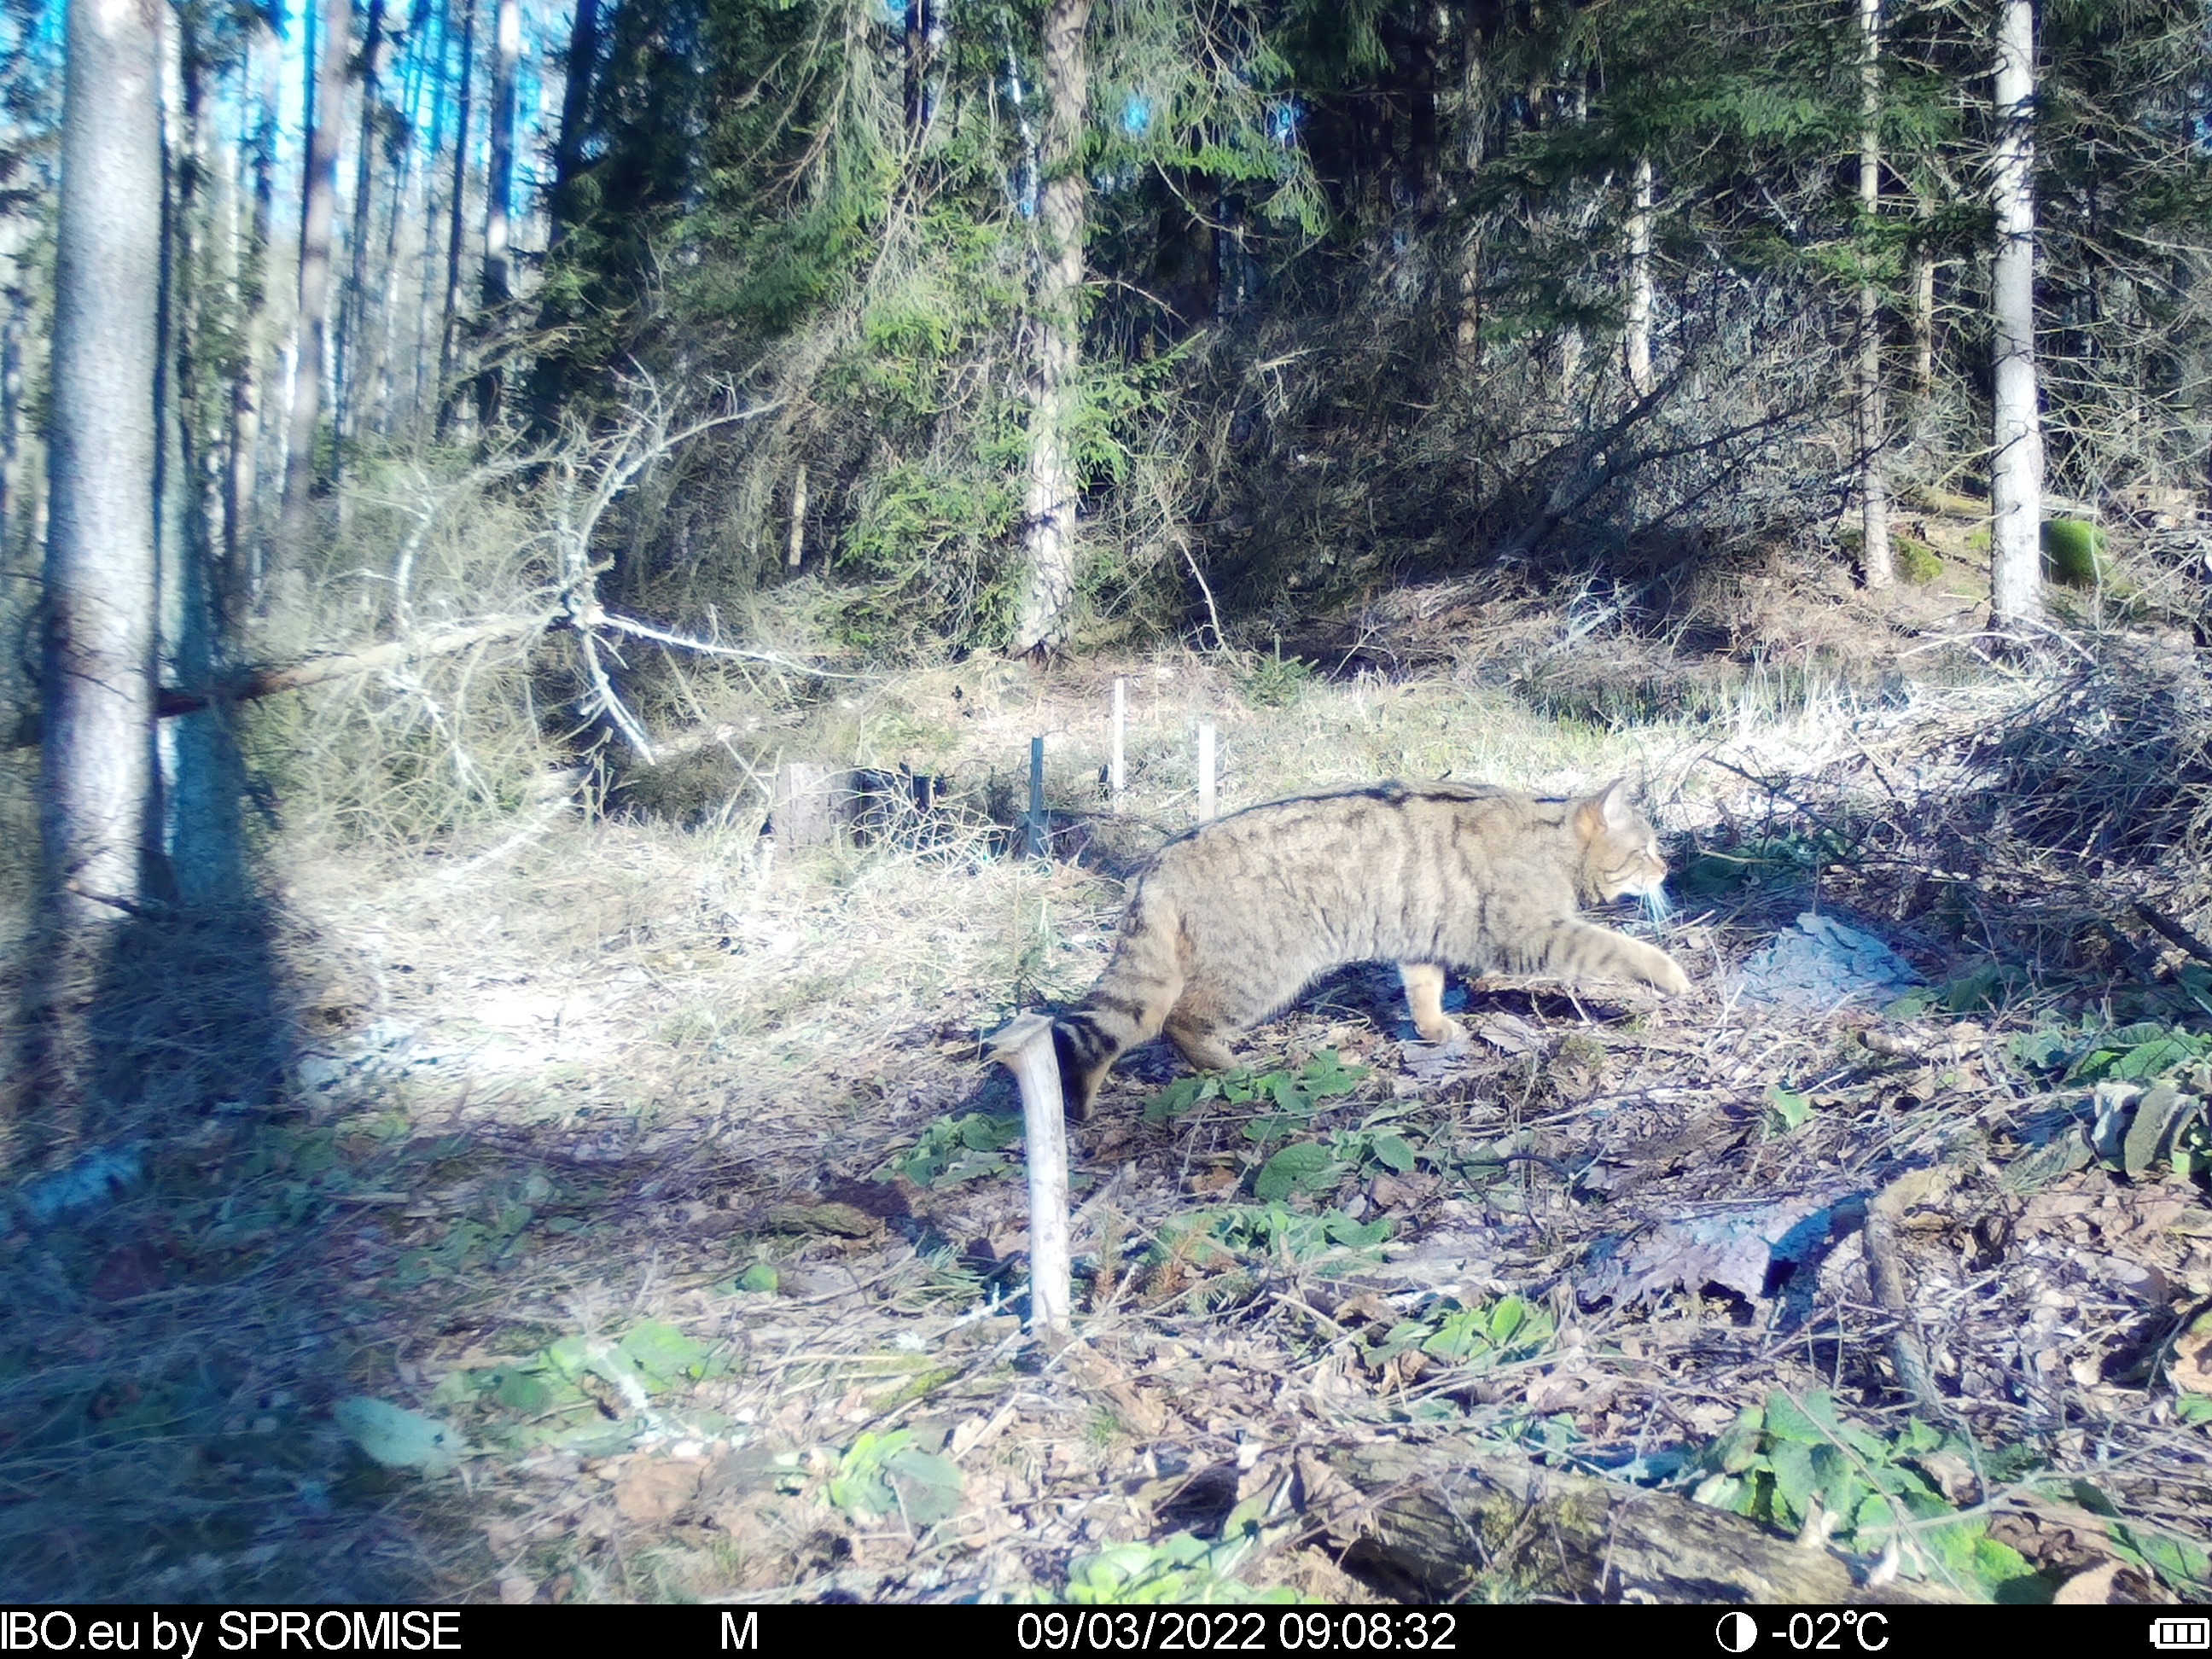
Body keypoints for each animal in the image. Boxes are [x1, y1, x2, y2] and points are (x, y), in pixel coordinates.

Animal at [1052, 778, 1690, 1119]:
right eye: (1646, 850)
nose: (1668, 869)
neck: (1551, 841)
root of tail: (1158, 862)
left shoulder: (1423, 936)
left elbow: (1423, 991)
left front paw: (1434, 1029)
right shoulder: (1530, 933)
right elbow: (1615, 948)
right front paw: (1669, 974)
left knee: (1121, 1026)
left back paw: (1081, 1105)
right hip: (1262, 970)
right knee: (1180, 1023)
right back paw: (1238, 1070)